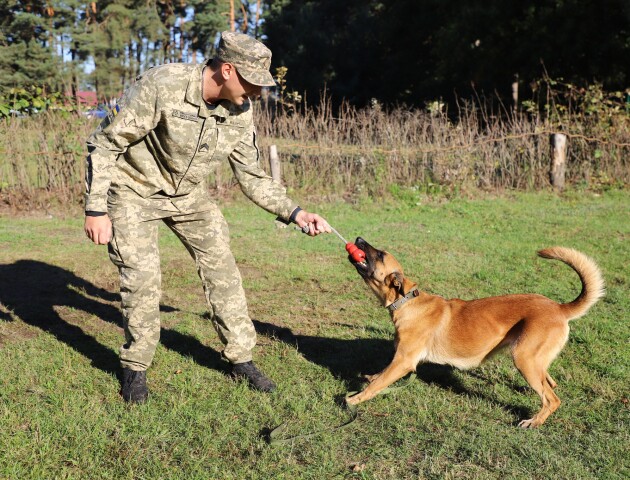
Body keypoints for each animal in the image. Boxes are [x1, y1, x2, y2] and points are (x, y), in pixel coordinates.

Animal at [348, 238, 604, 430]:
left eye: (380, 254)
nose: (358, 239)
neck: (407, 301)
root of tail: (559, 308)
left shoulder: (403, 361)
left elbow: (376, 385)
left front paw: (353, 400)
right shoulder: (398, 360)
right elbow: (380, 376)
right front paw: (371, 377)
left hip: (524, 358)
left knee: (552, 398)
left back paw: (534, 421)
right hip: (532, 359)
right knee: (549, 382)